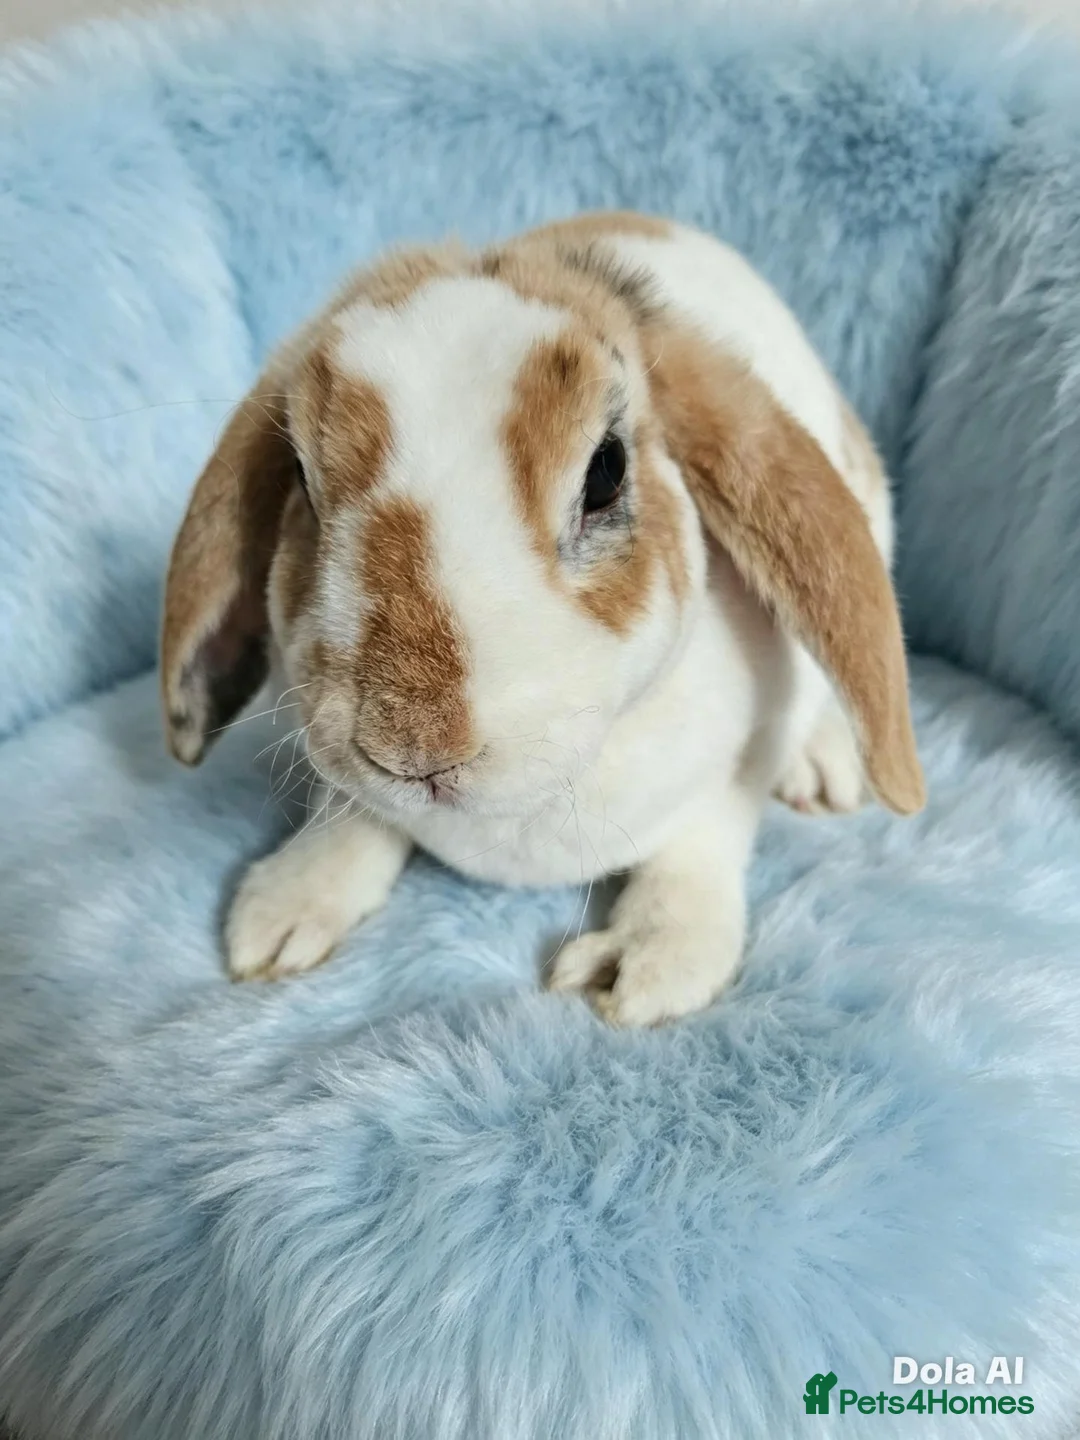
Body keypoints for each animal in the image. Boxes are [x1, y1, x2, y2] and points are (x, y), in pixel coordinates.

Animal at [160, 211, 924, 1027]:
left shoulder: (737, 763)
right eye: (301, 477)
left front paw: (645, 965)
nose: (414, 749)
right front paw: (283, 912)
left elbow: (698, 843)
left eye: (607, 470)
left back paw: (823, 769)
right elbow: (354, 815)